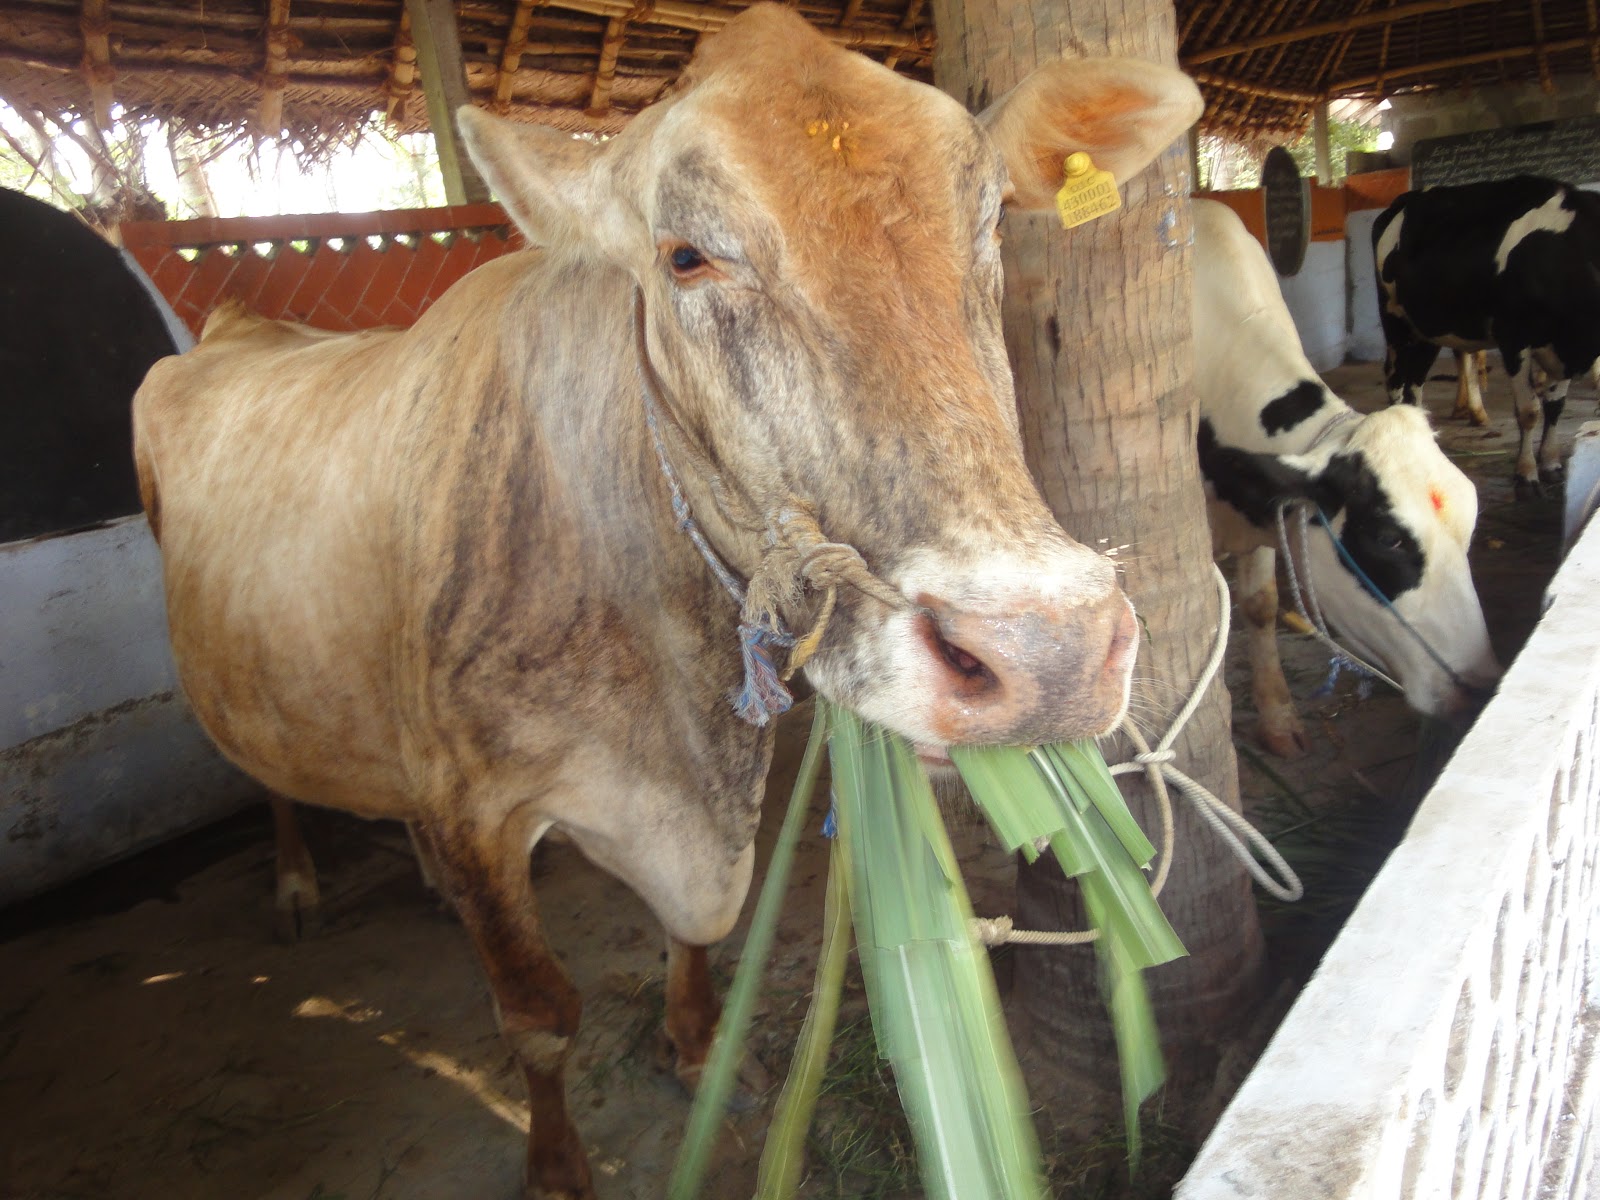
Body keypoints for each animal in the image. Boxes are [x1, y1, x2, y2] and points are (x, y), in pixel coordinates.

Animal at [132, 7, 1200, 1195]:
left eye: (989, 221)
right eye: (684, 256)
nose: (1048, 653)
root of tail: (237, 324)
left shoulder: (707, 815)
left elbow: (702, 930)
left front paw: (695, 1046)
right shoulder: (478, 808)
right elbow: (540, 1016)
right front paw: (557, 1164)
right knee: (268, 774)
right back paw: (296, 884)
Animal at [1192, 199, 1500, 758]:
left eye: (1470, 523)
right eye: (1387, 537)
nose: (1482, 685)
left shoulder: (1266, 510)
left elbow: (1260, 605)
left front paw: (1279, 719)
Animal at [1374, 175, 1600, 498]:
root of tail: (1402, 201)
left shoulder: (1563, 347)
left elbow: (1555, 406)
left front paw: (1551, 463)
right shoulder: (1514, 339)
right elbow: (1530, 410)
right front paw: (1526, 474)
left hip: (1427, 329)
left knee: (1415, 383)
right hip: (1394, 319)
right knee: (1394, 379)